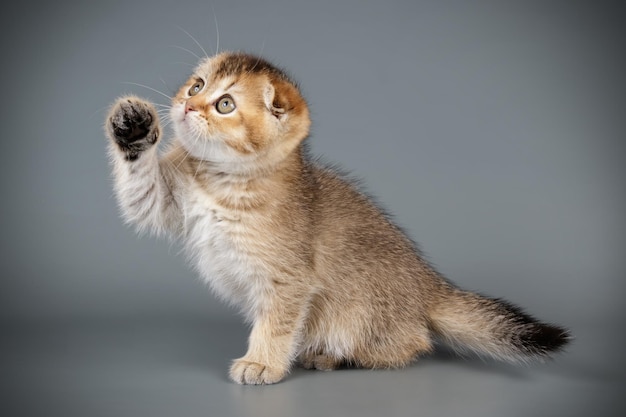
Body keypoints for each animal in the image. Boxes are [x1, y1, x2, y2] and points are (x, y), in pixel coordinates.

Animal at [105, 51, 568, 384]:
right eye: (197, 84)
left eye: (224, 104)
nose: (187, 105)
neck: (221, 180)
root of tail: (429, 285)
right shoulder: (167, 200)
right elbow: (142, 190)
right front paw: (132, 125)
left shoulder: (288, 279)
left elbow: (275, 324)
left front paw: (262, 364)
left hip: (358, 315)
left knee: (415, 343)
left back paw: (333, 356)